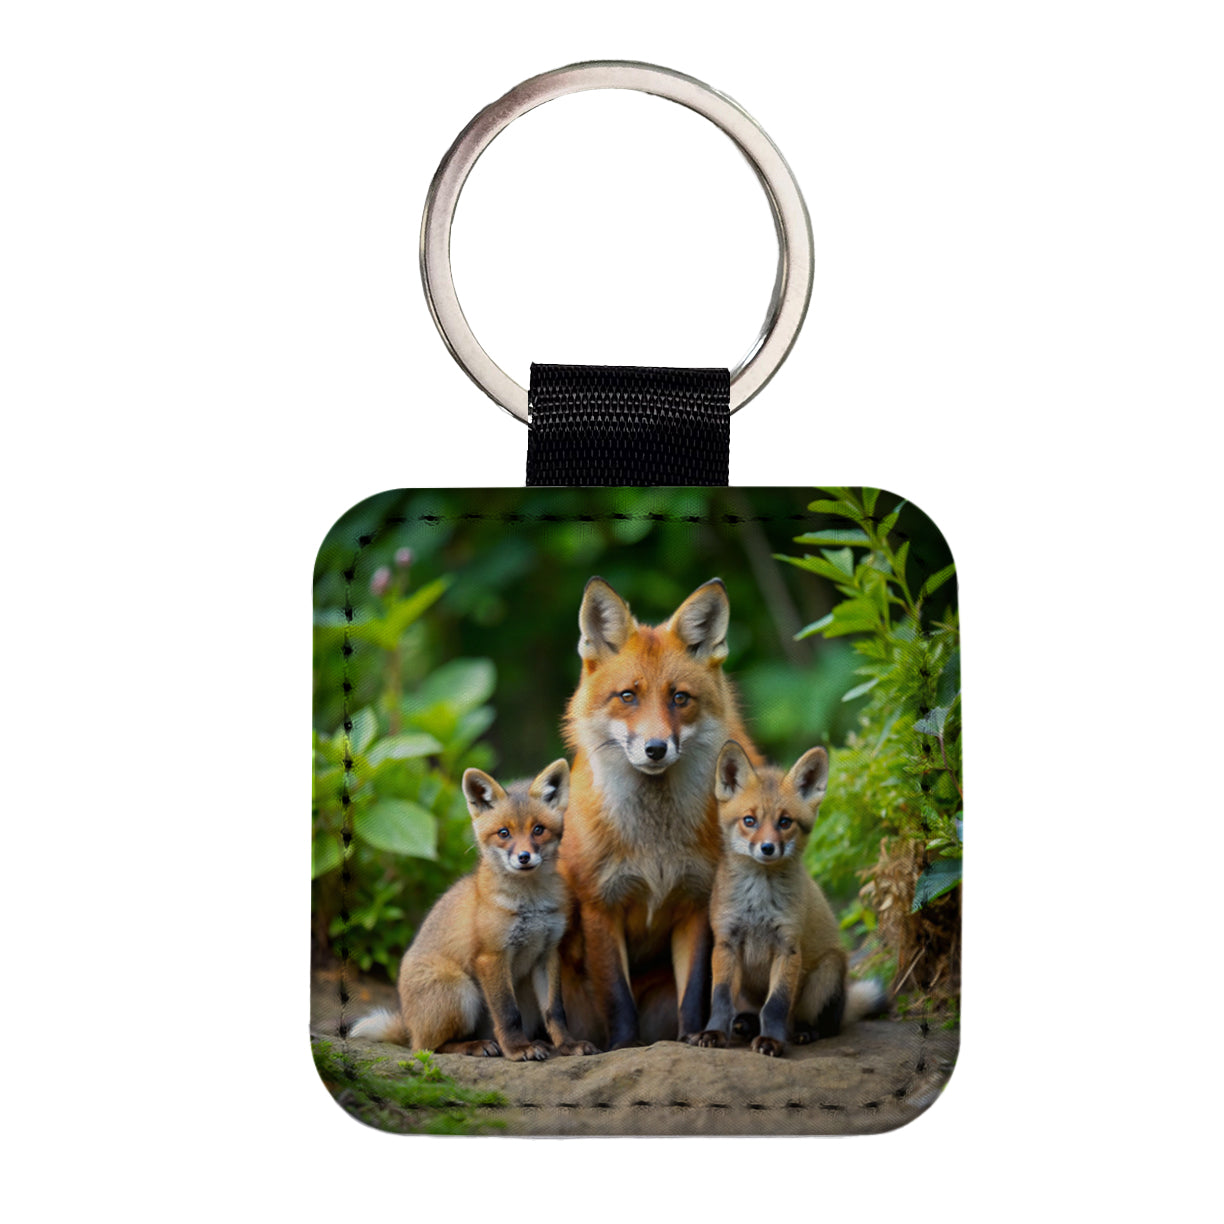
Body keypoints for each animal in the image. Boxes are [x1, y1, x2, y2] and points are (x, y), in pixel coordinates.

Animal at [351, 758, 597, 1061]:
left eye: (538, 830)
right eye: (504, 833)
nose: (524, 857)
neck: (531, 905)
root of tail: (409, 1024)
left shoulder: (547, 953)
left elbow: (556, 1012)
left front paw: (567, 1045)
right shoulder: (491, 956)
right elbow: (507, 1014)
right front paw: (517, 1049)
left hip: (521, 992)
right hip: (461, 992)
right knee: (429, 1048)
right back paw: (477, 1045)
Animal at [559, 576, 762, 1049]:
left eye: (680, 698)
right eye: (628, 696)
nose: (656, 748)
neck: (655, 844)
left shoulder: (697, 903)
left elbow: (695, 990)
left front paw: (692, 1038)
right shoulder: (600, 905)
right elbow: (617, 997)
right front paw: (622, 1047)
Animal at [690, 740, 886, 1057]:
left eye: (785, 822)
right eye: (749, 820)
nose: (768, 848)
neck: (757, 903)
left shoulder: (788, 946)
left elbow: (776, 1005)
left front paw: (772, 1041)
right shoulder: (725, 943)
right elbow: (720, 999)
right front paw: (714, 1033)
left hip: (827, 972)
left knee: (820, 1025)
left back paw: (803, 1032)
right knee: (752, 1012)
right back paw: (745, 1024)